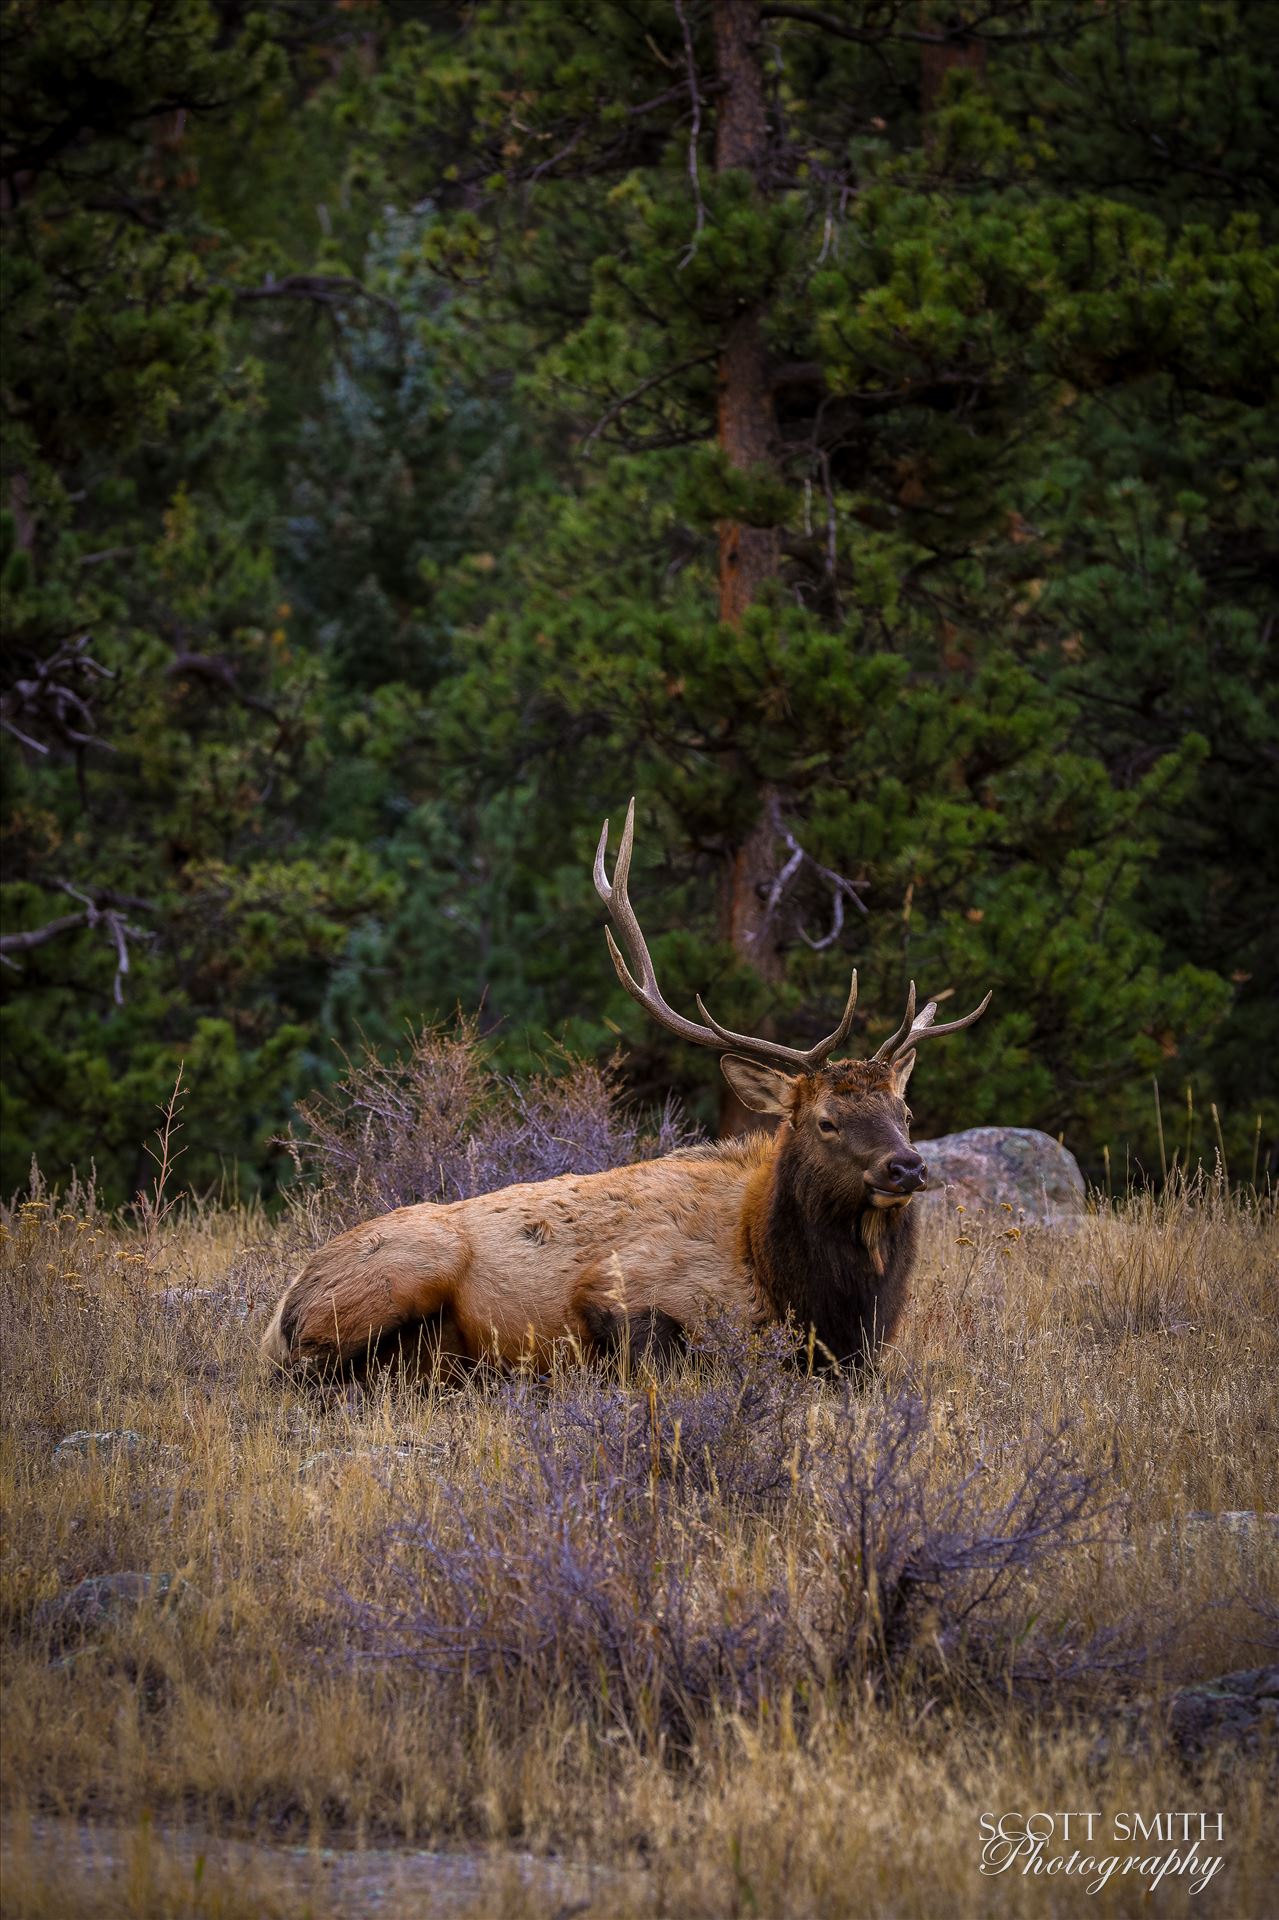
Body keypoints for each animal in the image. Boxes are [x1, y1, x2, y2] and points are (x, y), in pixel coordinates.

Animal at [263, 802, 990, 1374]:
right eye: (825, 1121)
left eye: (904, 1109)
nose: (906, 1166)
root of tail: (281, 1310)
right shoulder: (618, 1286)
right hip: (401, 1276)